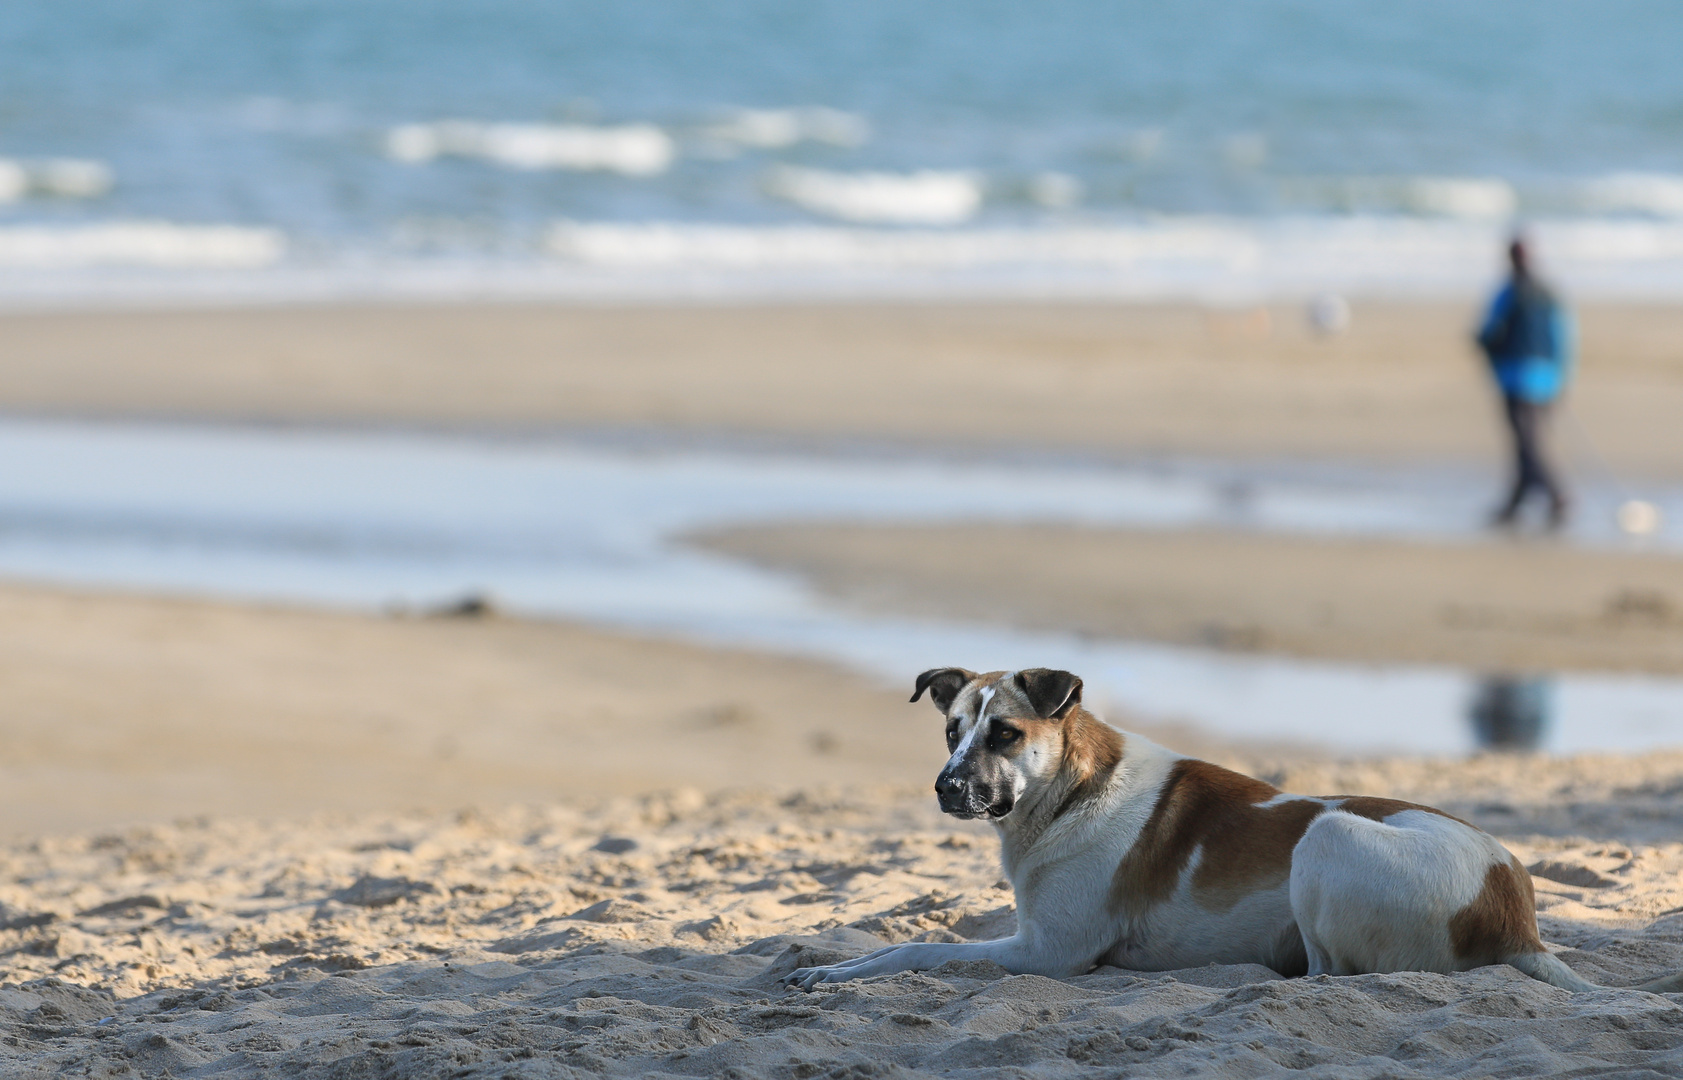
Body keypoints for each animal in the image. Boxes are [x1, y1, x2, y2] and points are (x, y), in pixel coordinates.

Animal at [787, 666, 1683, 995]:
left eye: (1004, 734)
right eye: (951, 732)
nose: (945, 788)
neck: (1075, 790)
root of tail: (1515, 909)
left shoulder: (1047, 953)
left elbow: (916, 949)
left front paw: (839, 971)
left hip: (1328, 837)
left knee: (1329, 972)